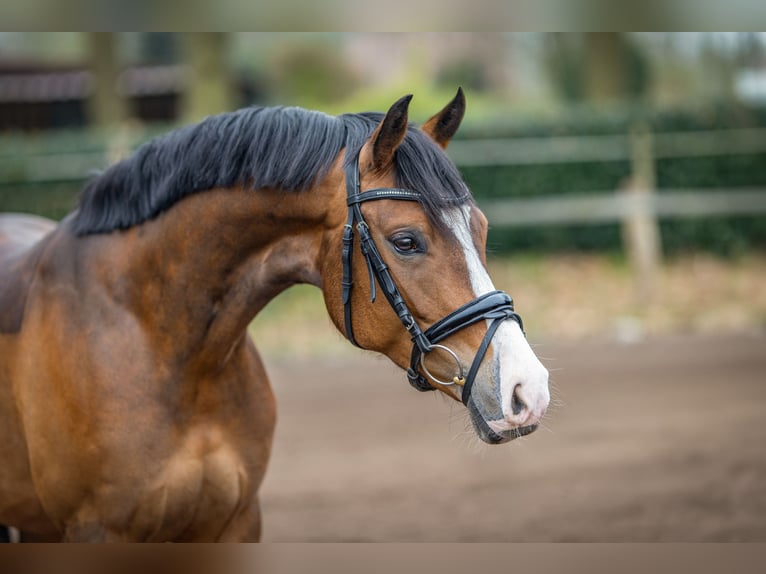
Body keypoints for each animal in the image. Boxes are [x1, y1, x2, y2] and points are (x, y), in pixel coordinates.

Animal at [0, 89, 550, 542]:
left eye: (480, 228)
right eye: (406, 241)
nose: (528, 389)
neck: (163, 342)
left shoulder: (235, 523)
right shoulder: (98, 531)